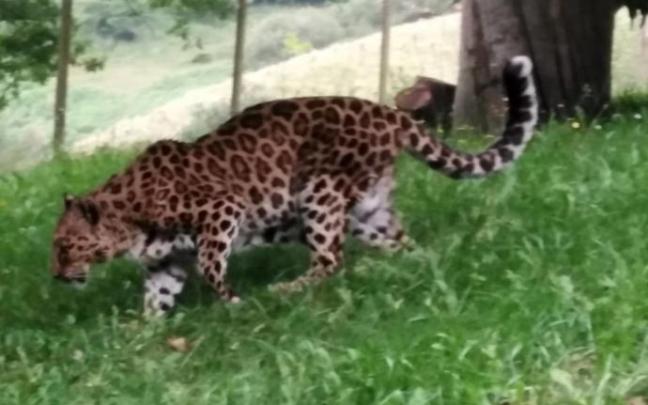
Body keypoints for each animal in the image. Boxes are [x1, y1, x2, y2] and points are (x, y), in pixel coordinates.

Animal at [51, 56, 538, 316]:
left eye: (65, 245)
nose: (56, 276)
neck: (128, 219)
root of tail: (390, 113)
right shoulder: (165, 263)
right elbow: (158, 297)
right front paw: (139, 335)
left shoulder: (221, 210)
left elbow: (211, 266)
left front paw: (235, 304)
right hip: (367, 210)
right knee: (397, 245)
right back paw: (409, 268)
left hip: (320, 194)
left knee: (330, 259)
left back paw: (285, 291)